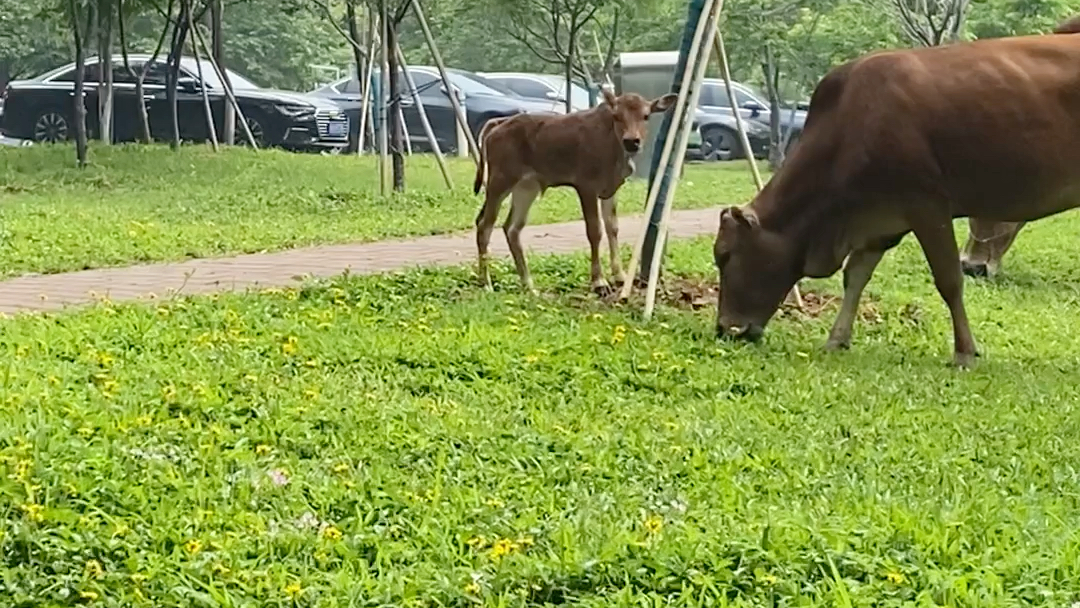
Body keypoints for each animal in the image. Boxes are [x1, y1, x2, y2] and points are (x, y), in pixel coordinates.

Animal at [473, 86, 673, 295]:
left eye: (646, 115)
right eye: (617, 116)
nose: (632, 141)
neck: (615, 151)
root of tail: (497, 125)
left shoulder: (611, 189)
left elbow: (612, 227)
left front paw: (620, 276)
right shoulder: (586, 185)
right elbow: (595, 230)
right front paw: (599, 281)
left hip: (527, 186)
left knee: (511, 228)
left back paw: (529, 285)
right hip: (500, 180)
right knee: (484, 225)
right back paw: (486, 283)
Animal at [712, 19, 1080, 369]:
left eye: (725, 256)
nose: (725, 329)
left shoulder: (927, 206)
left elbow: (949, 281)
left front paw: (964, 352)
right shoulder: (880, 220)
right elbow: (855, 276)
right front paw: (837, 339)